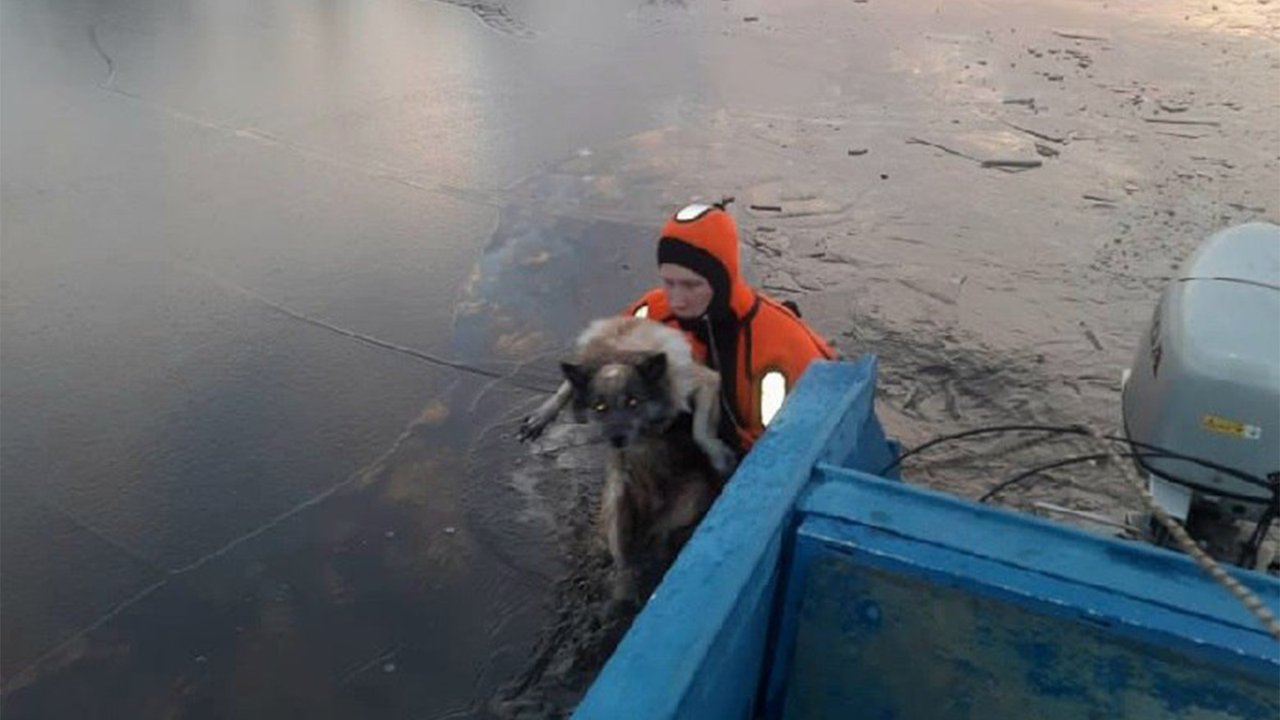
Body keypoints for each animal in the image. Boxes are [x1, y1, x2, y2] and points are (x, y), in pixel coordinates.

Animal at [517, 316, 737, 597]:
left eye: (633, 401)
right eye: (600, 407)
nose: (617, 440)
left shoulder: (705, 381)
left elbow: (700, 431)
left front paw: (718, 454)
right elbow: (567, 388)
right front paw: (542, 416)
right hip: (618, 510)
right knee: (622, 560)